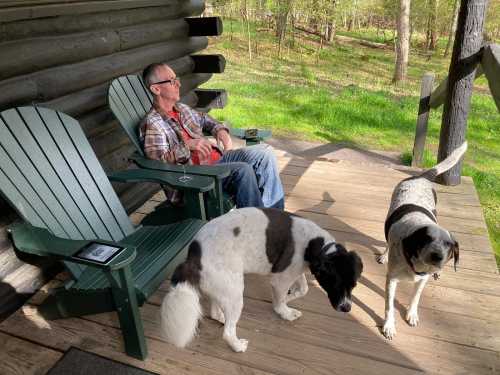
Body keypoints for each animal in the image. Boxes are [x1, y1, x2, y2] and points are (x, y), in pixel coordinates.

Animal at [161, 209, 364, 352]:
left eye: (353, 285)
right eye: (335, 283)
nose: (347, 308)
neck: (315, 244)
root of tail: (193, 255)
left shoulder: (295, 271)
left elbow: (303, 288)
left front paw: (291, 296)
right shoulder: (281, 278)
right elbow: (280, 302)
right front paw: (285, 310)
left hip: (223, 288)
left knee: (214, 310)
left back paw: (221, 317)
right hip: (235, 294)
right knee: (227, 332)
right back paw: (237, 345)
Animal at [378, 142, 464, 340]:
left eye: (449, 245)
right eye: (426, 239)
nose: (437, 256)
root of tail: (421, 177)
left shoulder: (422, 280)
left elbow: (415, 297)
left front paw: (412, 314)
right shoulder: (391, 280)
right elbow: (389, 307)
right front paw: (389, 326)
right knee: (386, 241)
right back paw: (384, 255)